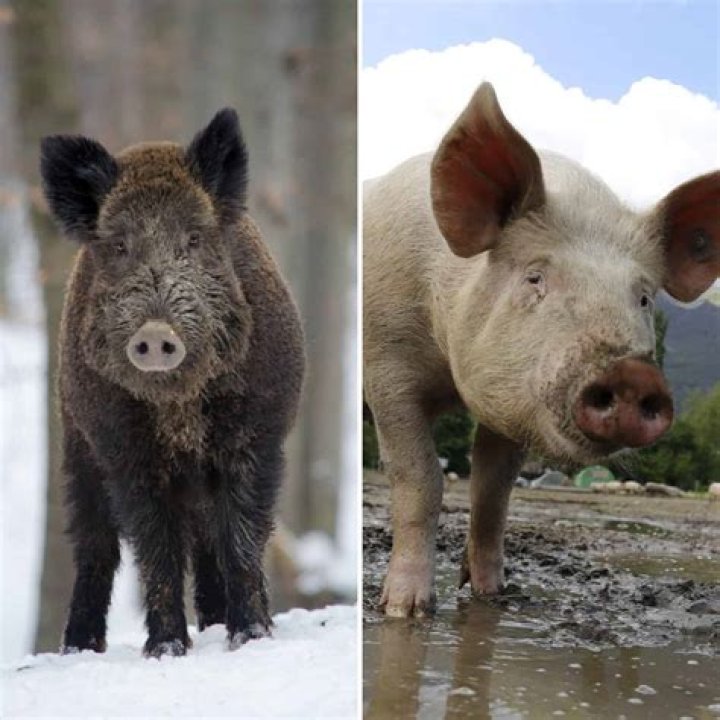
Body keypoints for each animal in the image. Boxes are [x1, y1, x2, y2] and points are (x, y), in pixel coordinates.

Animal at [41, 109, 304, 656]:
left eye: (194, 240)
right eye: (120, 245)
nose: (156, 334)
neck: (178, 408)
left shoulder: (256, 437)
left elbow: (241, 537)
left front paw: (250, 638)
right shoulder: (124, 451)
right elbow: (155, 548)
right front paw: (166, 649)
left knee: (207, 541)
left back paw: (217, 625)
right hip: (76, 443)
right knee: (95, 543)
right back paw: (79, 647)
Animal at [363, 82, 719, 617]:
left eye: (642, 297)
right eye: (535, 277)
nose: (633, 375)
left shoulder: (513, 399)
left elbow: (492, 492)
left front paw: (493, 595)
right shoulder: (386, 367)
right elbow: (420, 478)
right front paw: (405, 610)